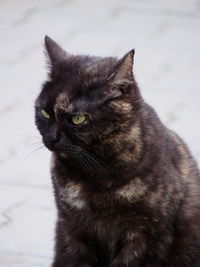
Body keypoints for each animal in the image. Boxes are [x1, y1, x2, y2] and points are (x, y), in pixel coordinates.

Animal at [34, 36, 200, 267]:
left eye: (78, 118)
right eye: (44, 113)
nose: (51, 138)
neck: (95, 175)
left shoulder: (145, 237)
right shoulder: (70, 228)